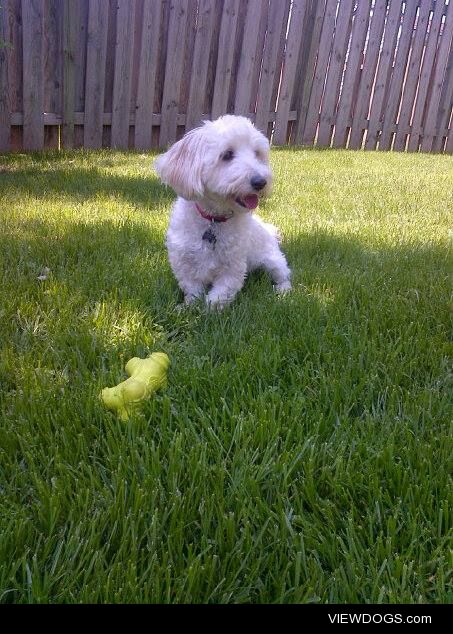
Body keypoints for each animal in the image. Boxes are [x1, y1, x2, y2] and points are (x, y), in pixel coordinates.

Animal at [154, 117, 292, 310]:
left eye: (257, 154)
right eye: (227, 154)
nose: (261, 182)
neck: (214, 219)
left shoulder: (232, 268)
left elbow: (219, 296)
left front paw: (209, 311)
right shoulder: (184, 262)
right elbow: (192, 289)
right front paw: (188, 306)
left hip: (273, 260)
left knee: (284, 275)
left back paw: (282, 291)